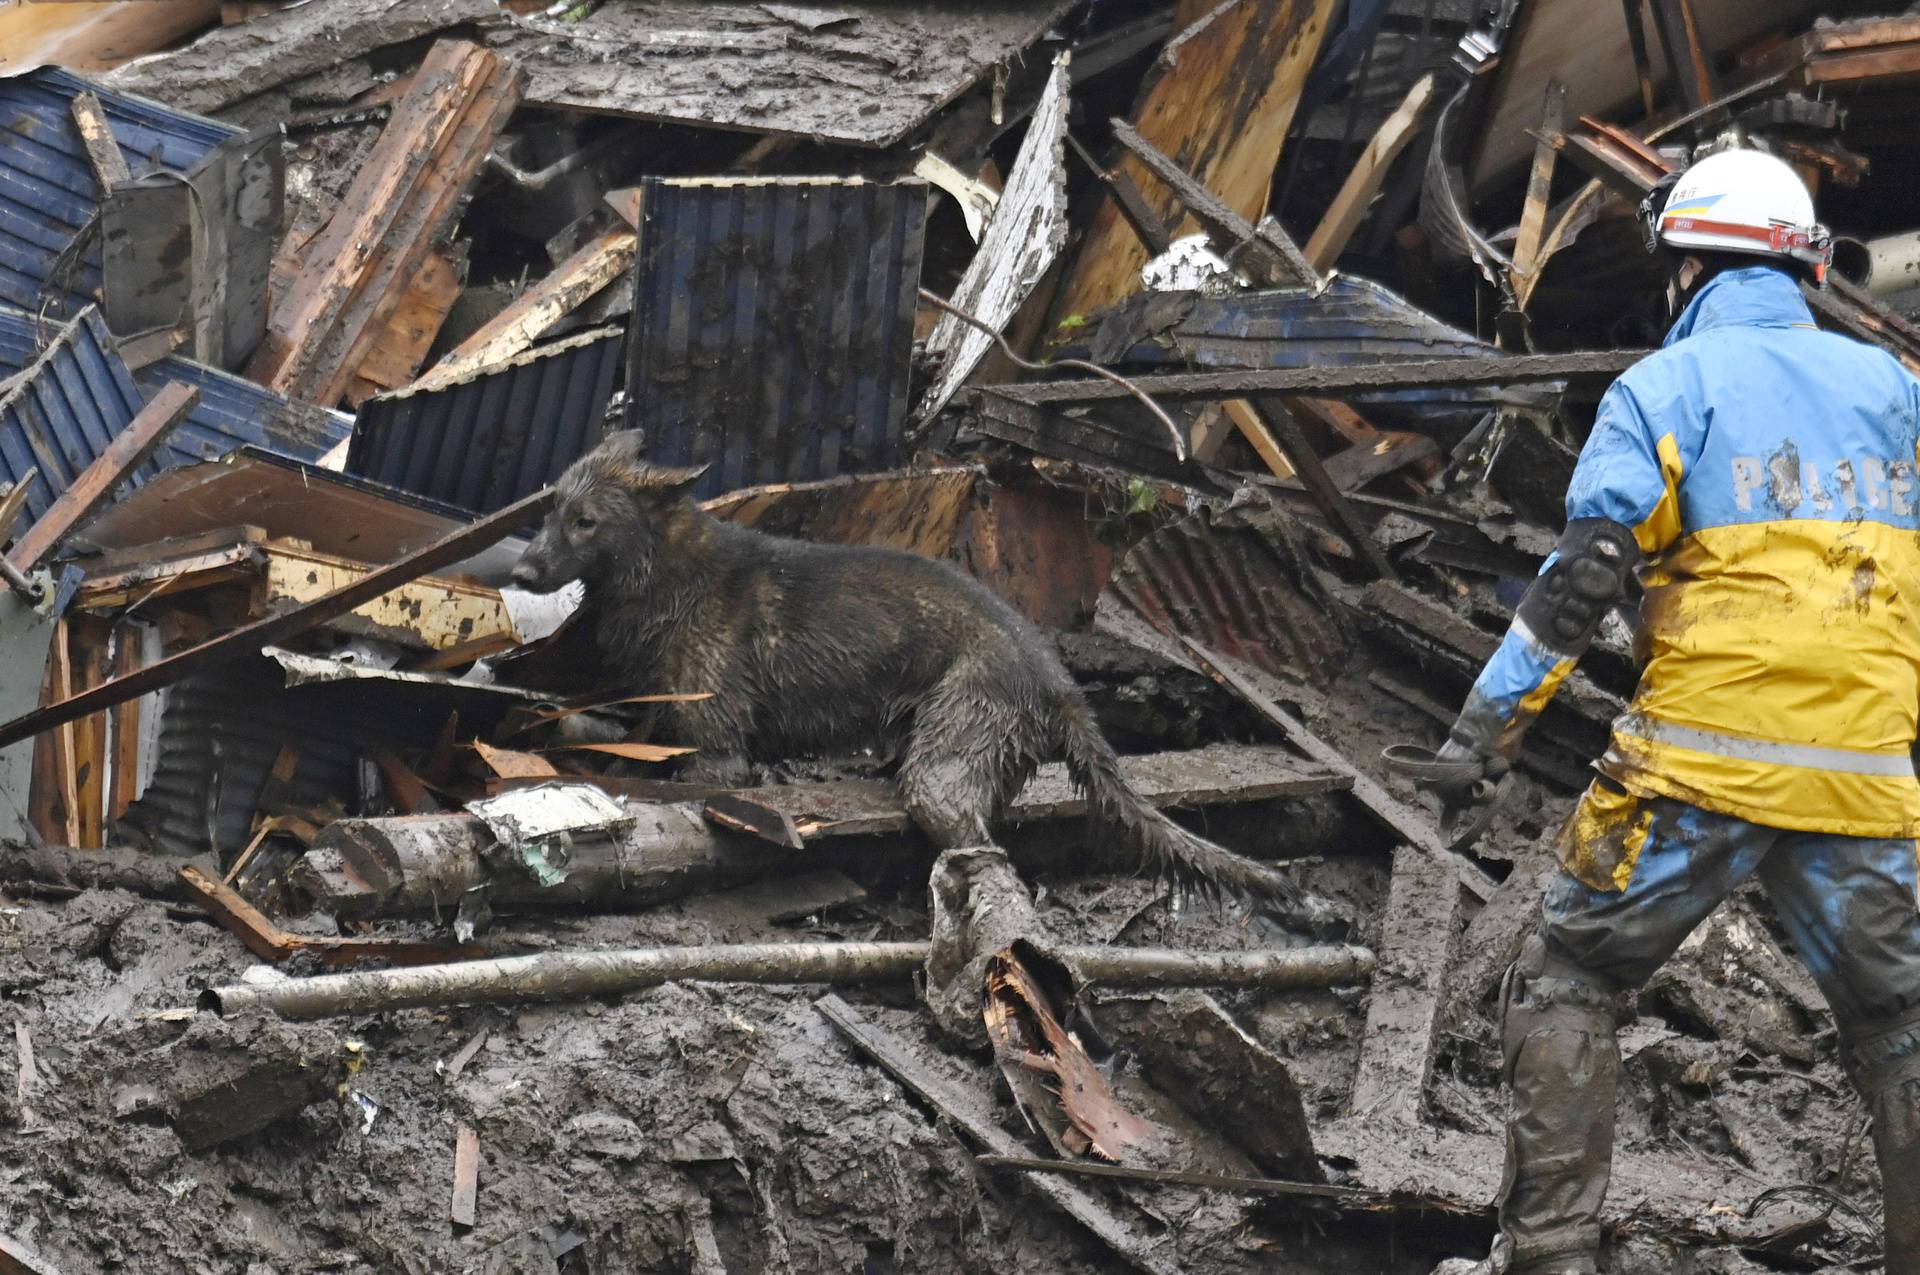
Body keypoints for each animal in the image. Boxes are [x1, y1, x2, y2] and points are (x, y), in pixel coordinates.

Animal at [510, 433, 1297, 902]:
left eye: (585, 520)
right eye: (549, 510)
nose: (518, 571)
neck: (667, 573)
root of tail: (1055, 679)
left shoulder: (717, 752)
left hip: (944, 765)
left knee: (983, 851)